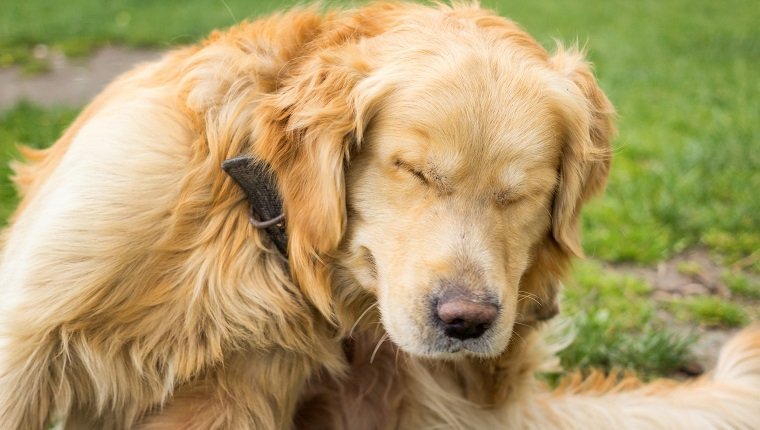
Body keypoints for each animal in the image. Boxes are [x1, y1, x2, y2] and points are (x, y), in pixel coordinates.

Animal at [1, 1, 760, 428]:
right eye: (414, 170)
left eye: (522, 193)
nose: (467, 322)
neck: (251, 216)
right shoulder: (26, 333)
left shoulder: (229, 394)